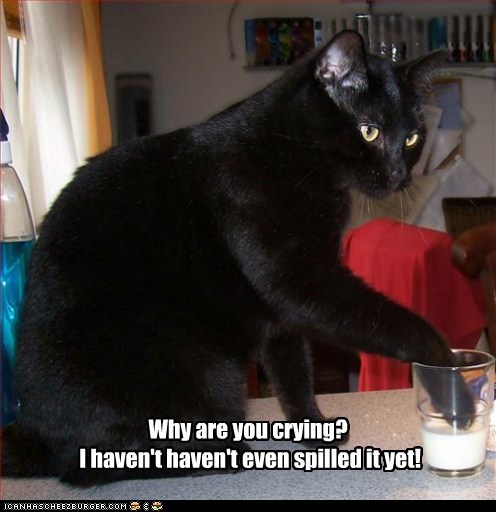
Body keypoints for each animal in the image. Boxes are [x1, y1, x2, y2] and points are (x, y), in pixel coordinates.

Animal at [2, 30, 464, 486]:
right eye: (369, 131)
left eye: (412, 139)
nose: (399, 175)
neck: (288, 152)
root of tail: (35, 435)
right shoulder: (302, 282)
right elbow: (386, 320)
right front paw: (443, 360)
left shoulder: (283, 312)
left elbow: (294, 374)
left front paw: (313, 430)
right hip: (205, 373)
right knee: (99, 463)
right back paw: (227, 452)